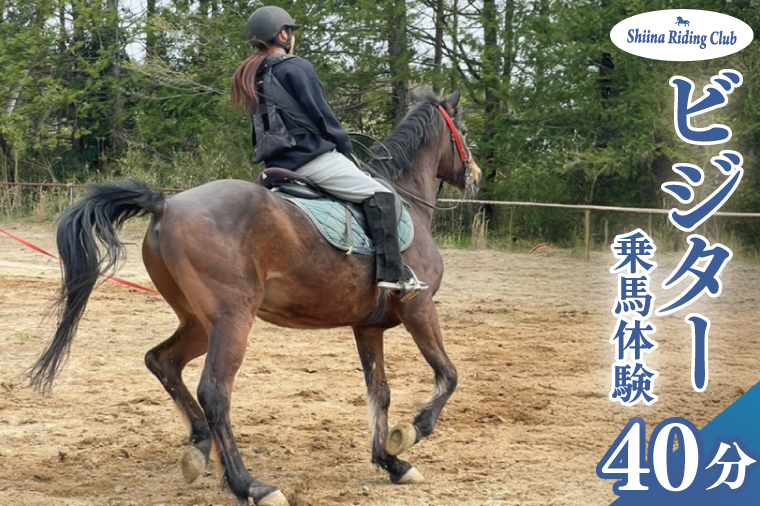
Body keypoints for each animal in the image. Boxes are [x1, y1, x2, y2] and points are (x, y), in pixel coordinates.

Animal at [29, 90, 482, 506]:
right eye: (463, 129)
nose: (475, 176)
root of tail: (167, 203)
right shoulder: (418, 307)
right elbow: (448, 374)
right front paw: (410, 433)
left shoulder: (368, 327)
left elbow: (379, 394)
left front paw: (391, 462)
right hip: (233, 320)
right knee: (214, 392)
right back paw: (251, 485)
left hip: (200, 323)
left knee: (163, 361)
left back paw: (199, 448)